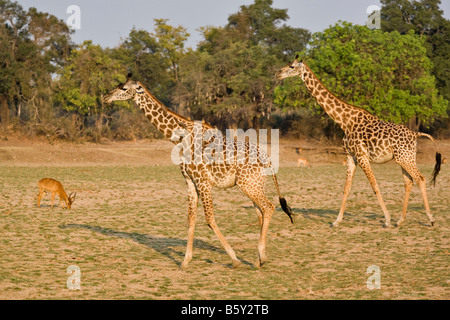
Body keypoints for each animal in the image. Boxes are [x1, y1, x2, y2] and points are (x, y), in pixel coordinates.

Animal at [102, 74, 294, 268]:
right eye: (119, 85)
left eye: (124, 88)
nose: (105, 97)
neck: (180, 138)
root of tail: (268, 160)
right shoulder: (190, 181)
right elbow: (191, 219)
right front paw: (185, 261)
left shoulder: (203, 181)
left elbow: (209, 219)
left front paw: (234, 259)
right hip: (254, 184)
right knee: (260, 212)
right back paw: (258, 259)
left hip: (248, 184)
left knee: (268, 207)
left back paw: (261, 257)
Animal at [276, 57, 442, 228]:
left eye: (291, 66)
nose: (278, 74)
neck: (344, 122)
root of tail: (415, 134)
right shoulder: (351, 156)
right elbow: (346, 188)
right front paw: (336, 221)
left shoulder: (362, 156)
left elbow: (375, 186)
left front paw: (387, 220)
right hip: (403, 159)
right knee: (409, 182)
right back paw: (400, 220)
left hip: (405, 158)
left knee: (420, 179)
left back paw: (430, 219)